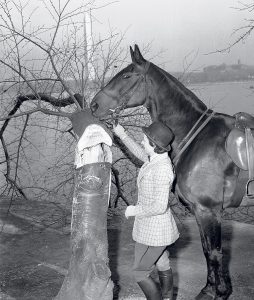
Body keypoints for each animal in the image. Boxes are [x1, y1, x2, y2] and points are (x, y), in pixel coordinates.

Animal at [89, 44, 252, 300]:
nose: (94, 105)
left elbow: (215, 253)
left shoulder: (209, 210)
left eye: (126, 76)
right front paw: (208, 289)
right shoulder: (199, 211)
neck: (197, 137)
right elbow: (206, 250)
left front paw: (220, 292)